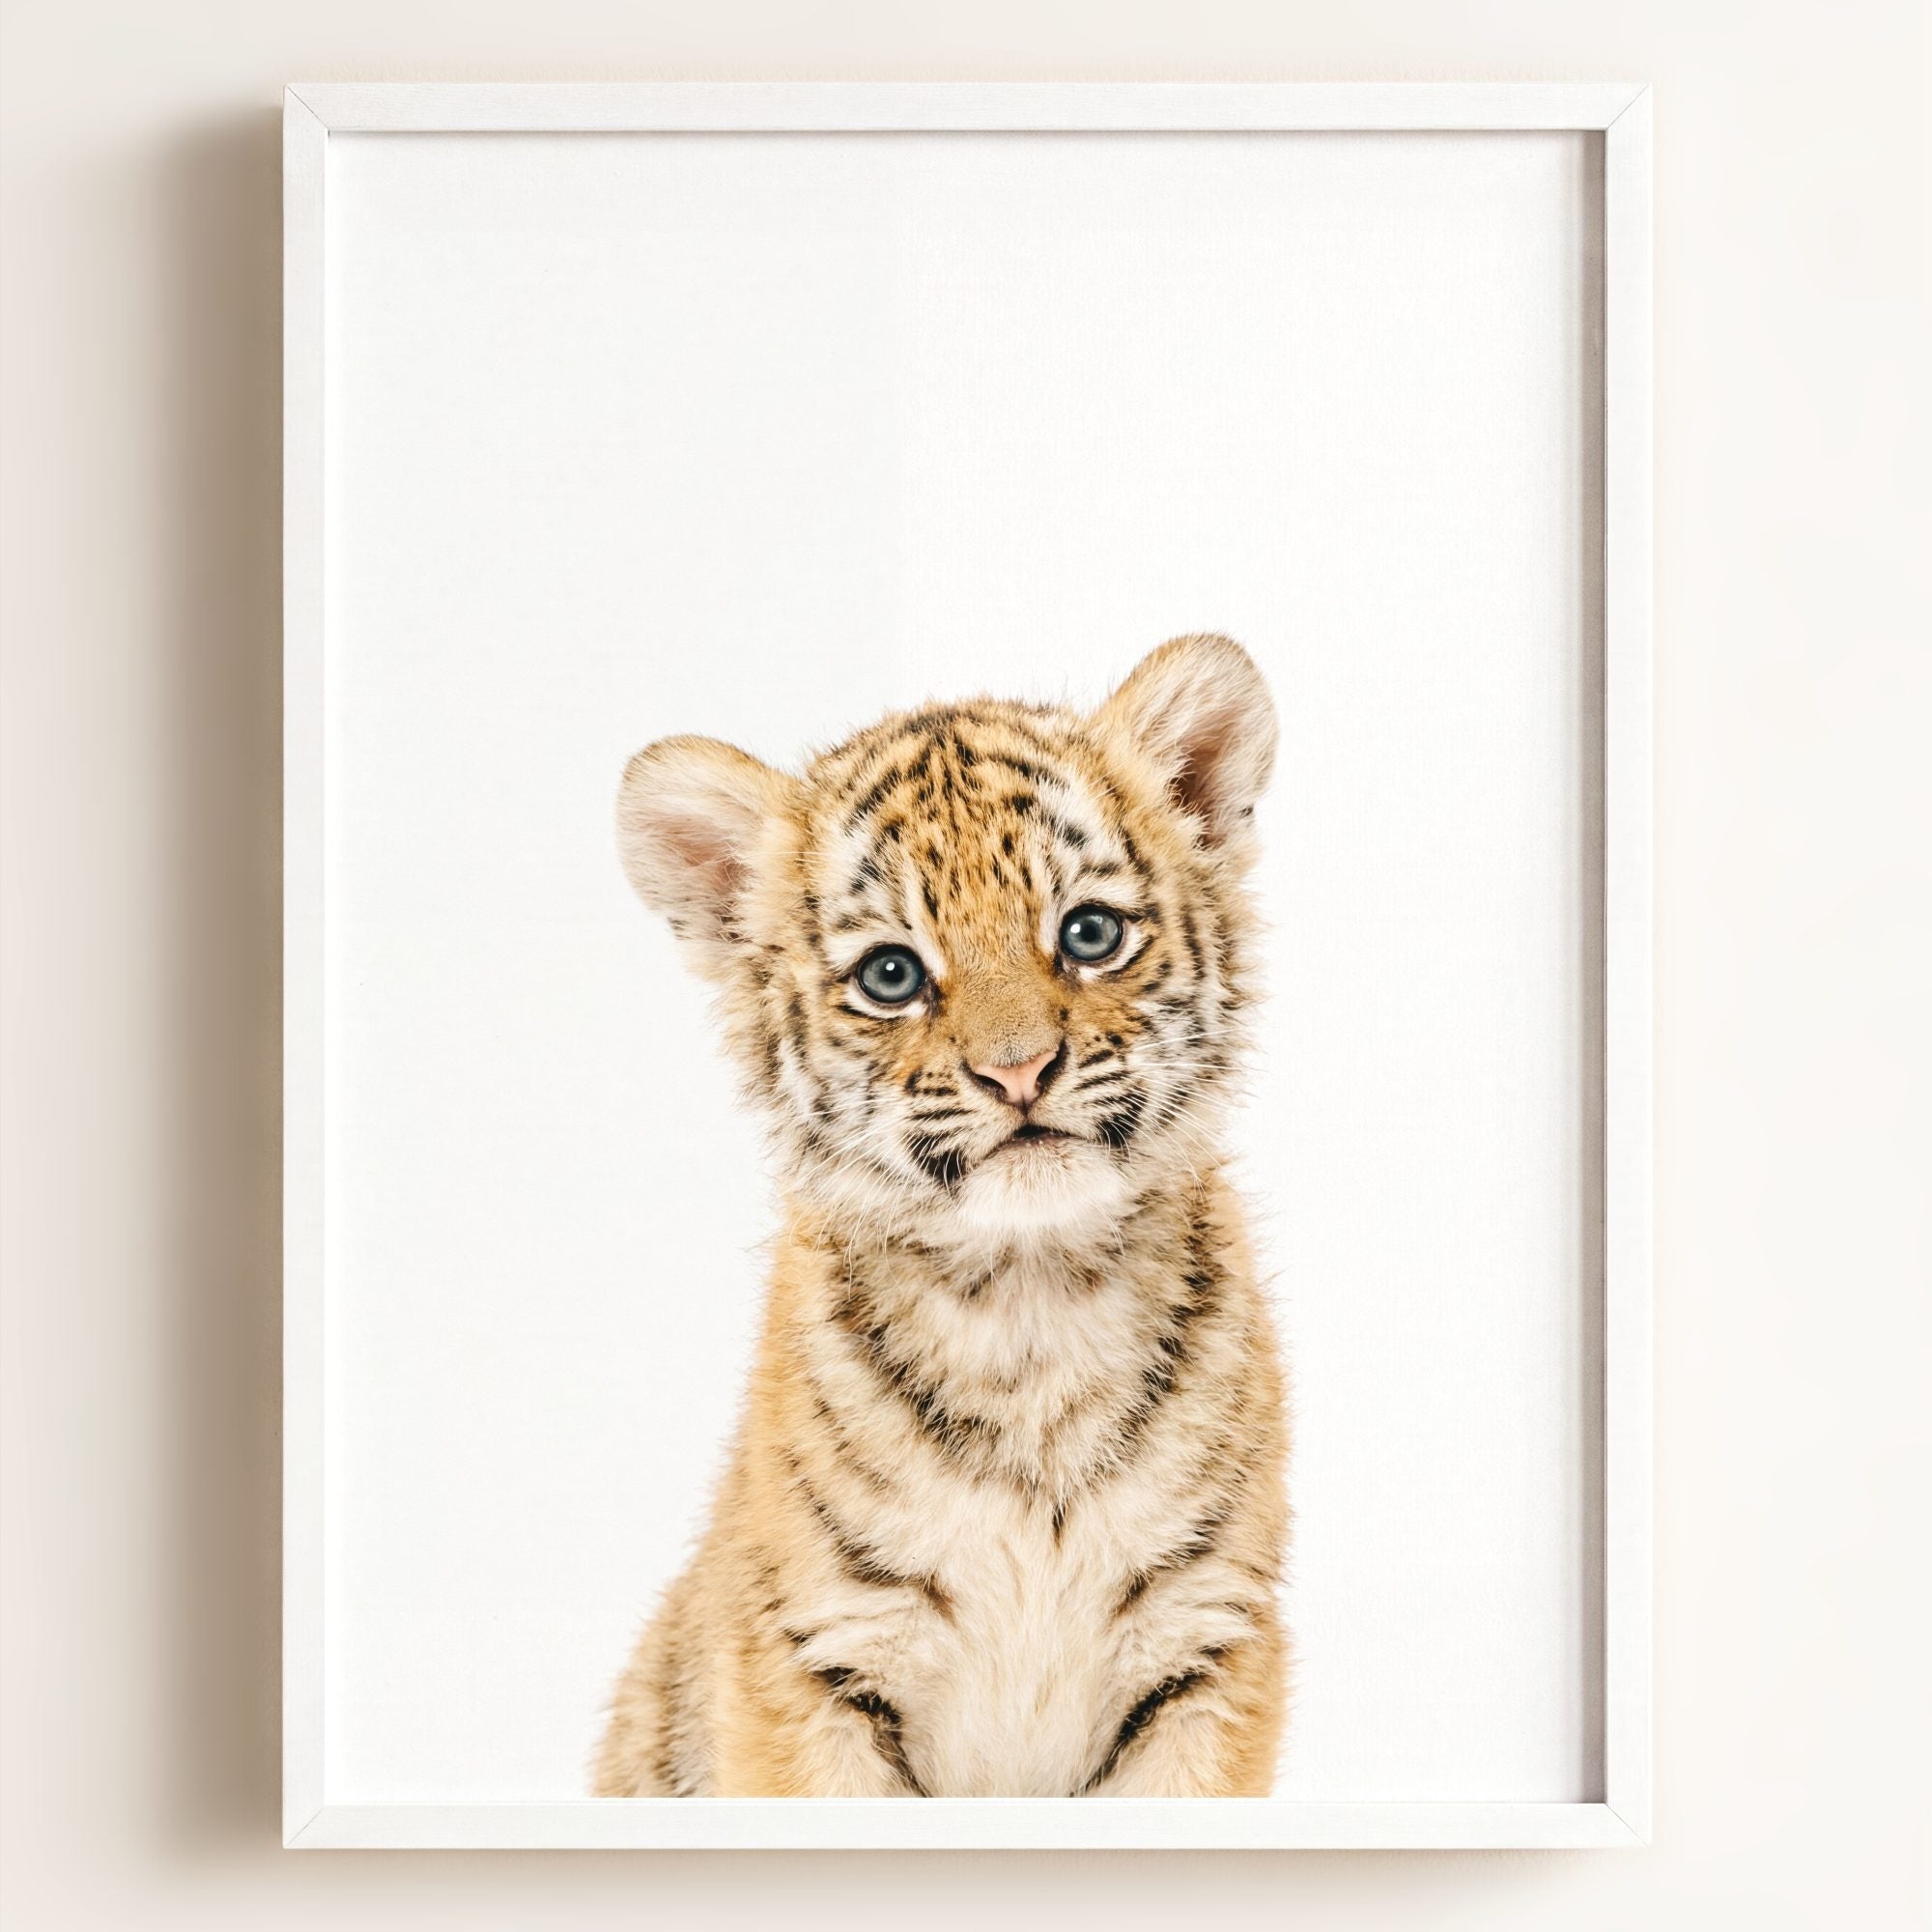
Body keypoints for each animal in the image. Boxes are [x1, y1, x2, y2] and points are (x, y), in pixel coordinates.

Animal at [593, 632, 1289, 1799]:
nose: (1018, 1071)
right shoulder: (812, 1660)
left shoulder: (1206, 1645)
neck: (1030, 1303)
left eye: (1088, 933)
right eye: (891, 974)